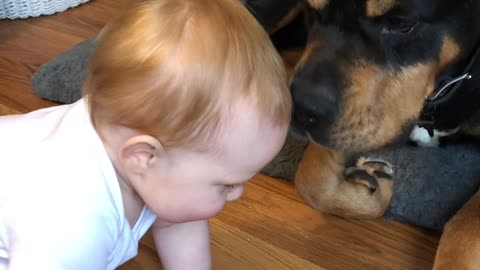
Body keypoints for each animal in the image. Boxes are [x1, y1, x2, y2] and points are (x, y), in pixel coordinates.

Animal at [246, 0, 480, 268]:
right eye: (312, 9)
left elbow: (465, 227)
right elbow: (312, 179)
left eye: (399, 23)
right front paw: (373, 190)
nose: (301, 109)